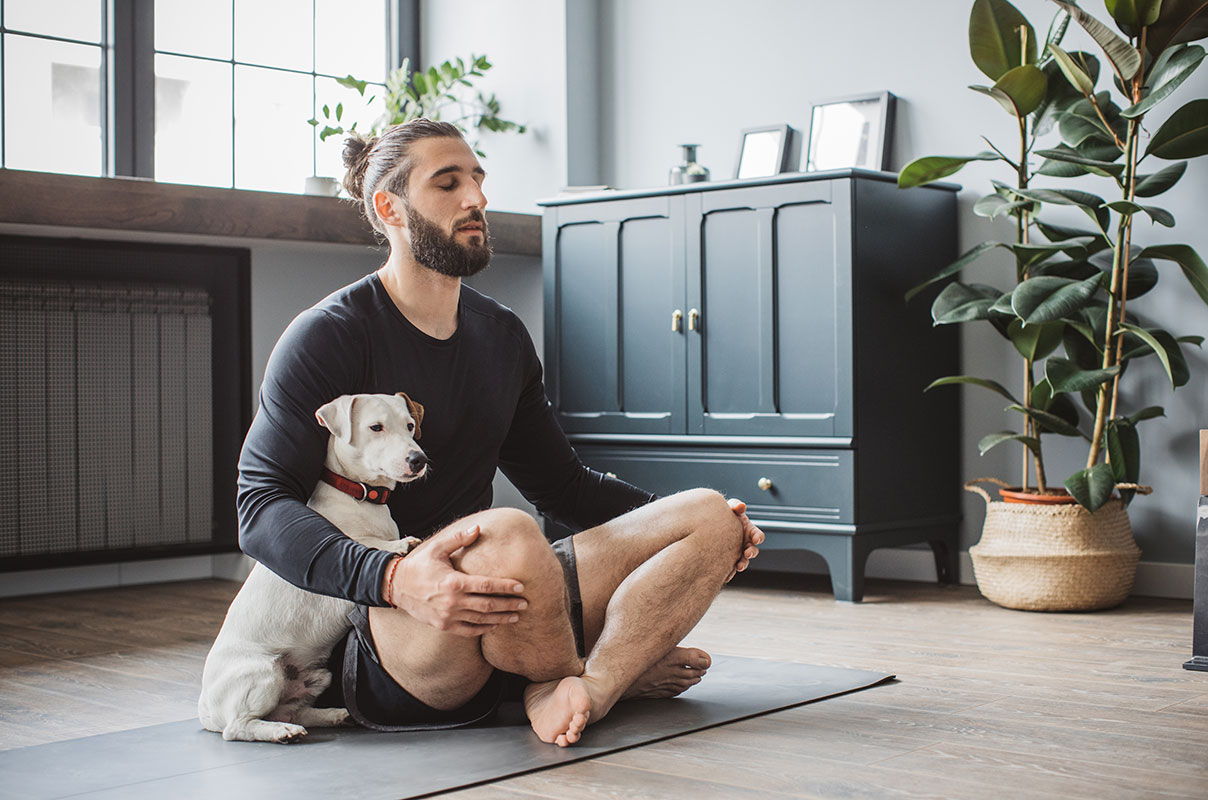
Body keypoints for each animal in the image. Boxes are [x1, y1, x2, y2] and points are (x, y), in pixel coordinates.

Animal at [196, 393, 425, 744]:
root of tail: (205, 707)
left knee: (293, 710)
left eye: (410, 425)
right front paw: (399, 545)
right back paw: (280, 732)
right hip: (265, 673)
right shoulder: (345, 555)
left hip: (319, 676)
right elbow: (364, 544)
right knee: (238, 728)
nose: (419, 459)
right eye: (376, 427)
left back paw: (333, 715)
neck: (358, 497)